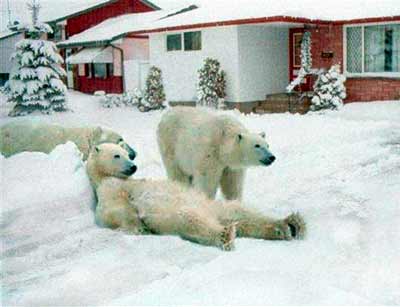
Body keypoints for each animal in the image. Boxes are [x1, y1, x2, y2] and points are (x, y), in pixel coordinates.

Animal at [88, 143, 306, 251]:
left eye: (127, 154)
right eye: (117, 155)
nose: (133, 166)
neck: (109, 177)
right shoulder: (109, 191)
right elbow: (115, 211)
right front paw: (138, 227)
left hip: (214, 206)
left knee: (241, 212)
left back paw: (290, 224)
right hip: (176, 213)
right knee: (190, 219)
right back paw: (225, 234)